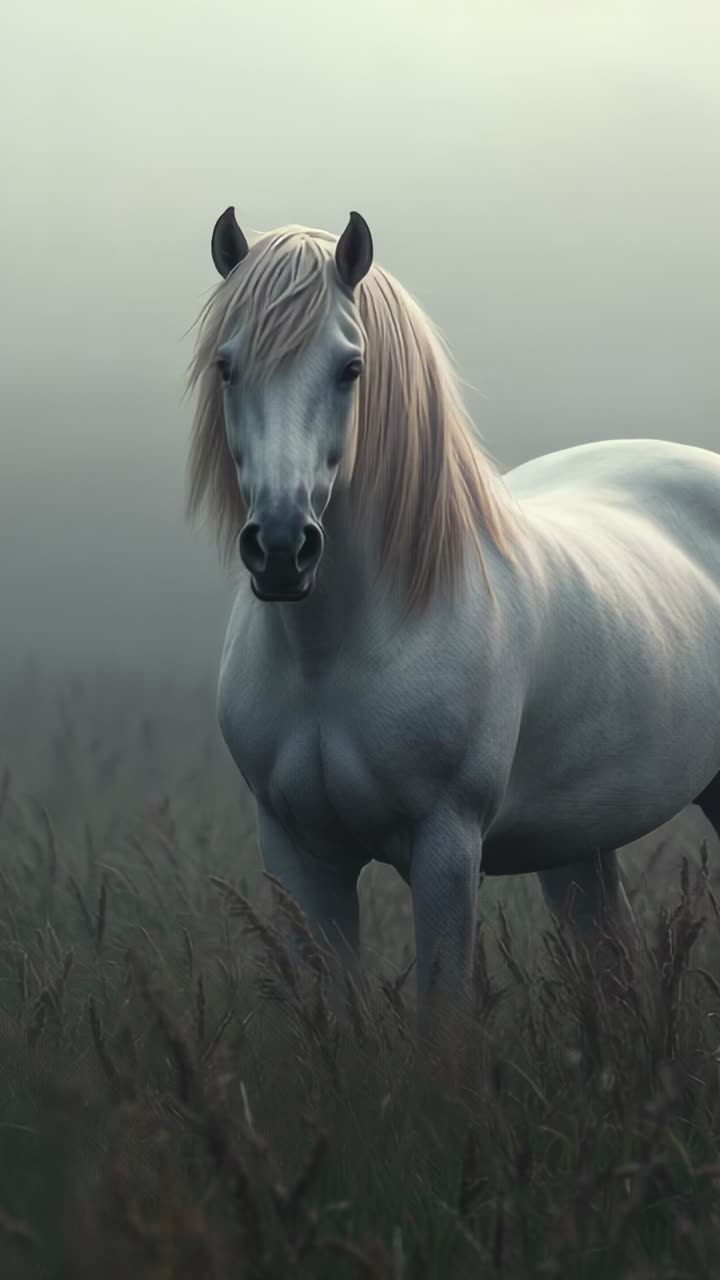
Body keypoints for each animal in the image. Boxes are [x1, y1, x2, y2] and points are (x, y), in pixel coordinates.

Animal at [186, 206, 720, 1023]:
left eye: (351, 368)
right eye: (226, 365)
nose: (281, 549)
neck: (333, 655)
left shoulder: (446, 848)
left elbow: (443, 1021)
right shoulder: (300, 855)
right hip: (579, 841)